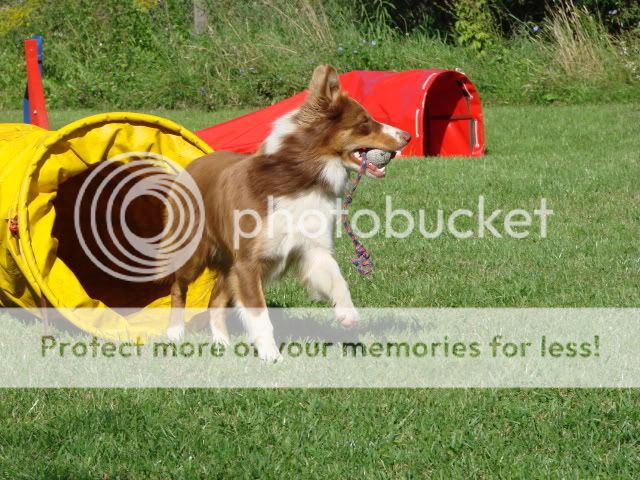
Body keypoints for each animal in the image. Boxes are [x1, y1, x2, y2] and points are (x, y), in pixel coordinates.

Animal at [164, 65, 410, 361]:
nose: (408, 137)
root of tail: (192, 165)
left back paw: (221, 342)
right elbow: (259, 315)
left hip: (228, 265)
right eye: (364, 123)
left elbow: (337, 278)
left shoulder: (311, 249)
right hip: (194, 253)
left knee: (215, 298)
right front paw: (271, 355)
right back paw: (175, 333)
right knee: (178, 287)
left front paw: (347, 313)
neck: (300, 177)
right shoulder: (248, 263)